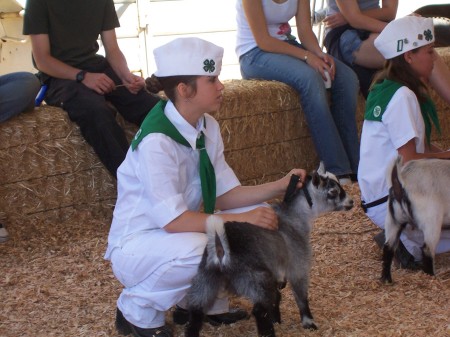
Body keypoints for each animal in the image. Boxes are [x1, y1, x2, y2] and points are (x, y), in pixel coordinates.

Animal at [185, 164, 354, 334]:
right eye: (333, 192)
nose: (351, 202)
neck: (293, 217)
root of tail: (223, 251)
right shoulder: (298, 264)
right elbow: (301, 296)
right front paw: (308, 322)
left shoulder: (276, 268)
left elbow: (277, 296)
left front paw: (276, 318)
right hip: (256, 279)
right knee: (259, 310)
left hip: (205, 279)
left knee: (196, 310)